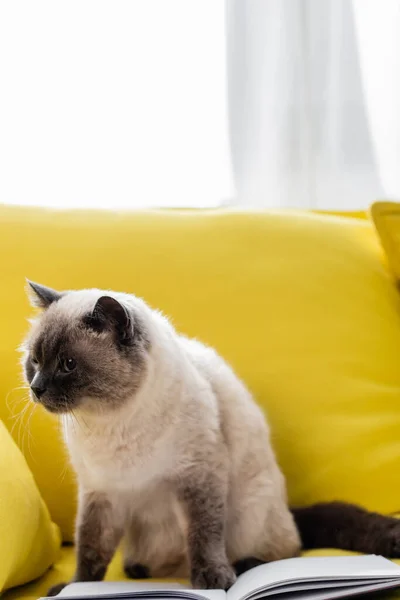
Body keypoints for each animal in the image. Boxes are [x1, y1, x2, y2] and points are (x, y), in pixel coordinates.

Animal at [21, 282, 400, 596]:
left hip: (251, 513)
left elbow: (204, 534)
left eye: (68, 364)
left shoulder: (198, 476)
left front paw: (215, 582)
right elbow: (90, 551)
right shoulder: (102, 493)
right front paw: (73, 589)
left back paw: (244, 567)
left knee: (285, 549)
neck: (111, 422)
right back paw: (139, 569)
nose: (36, 388)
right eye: (35, 361)